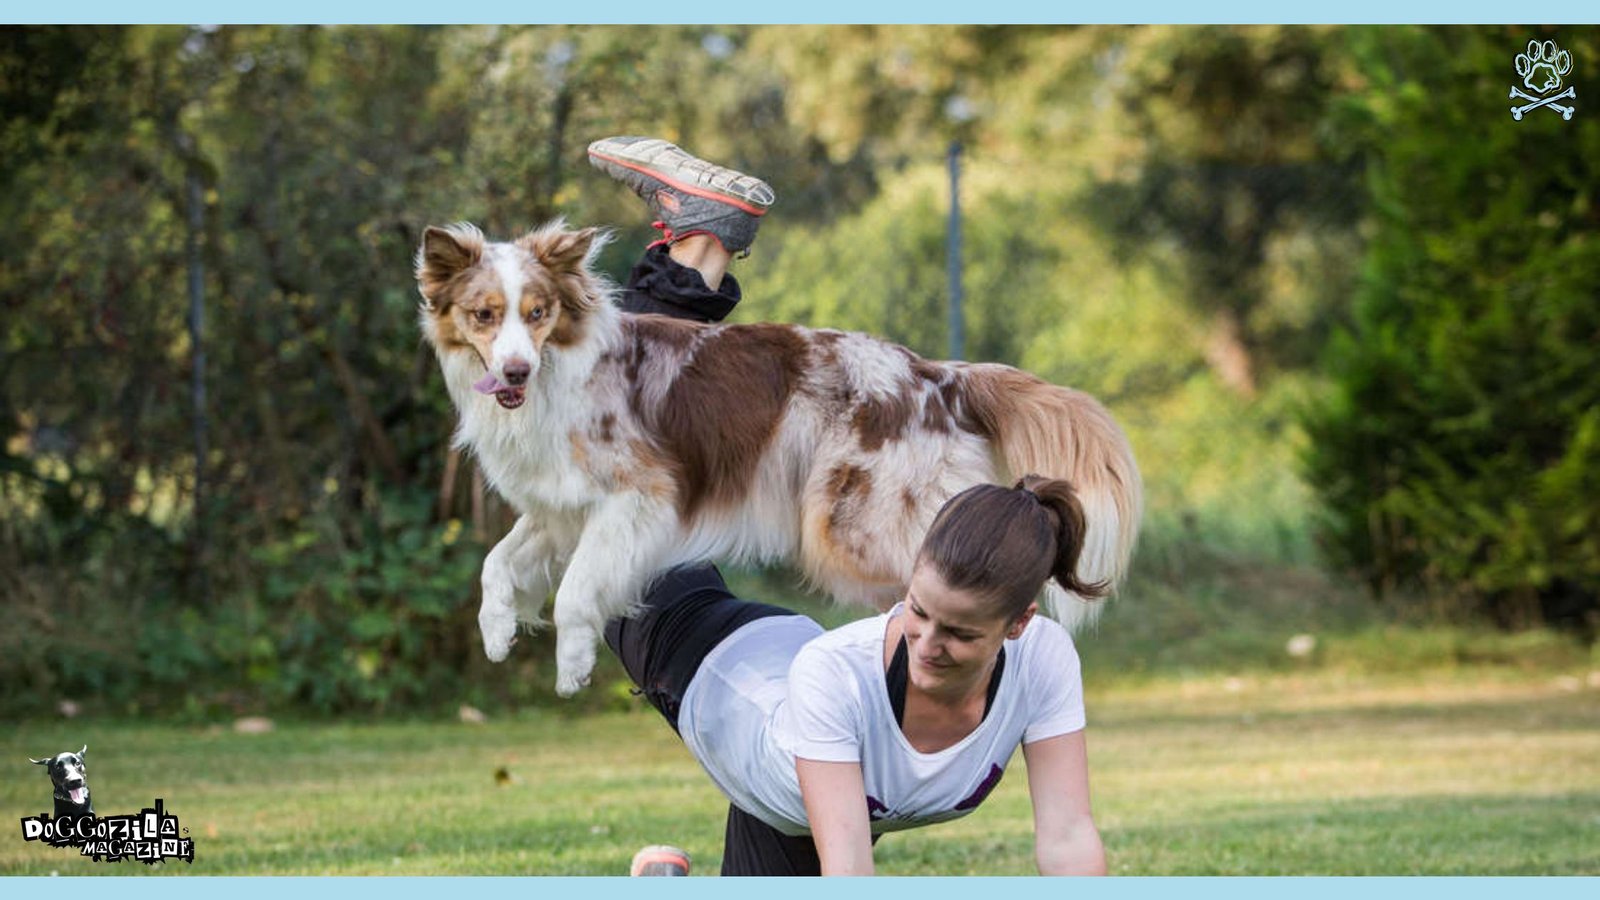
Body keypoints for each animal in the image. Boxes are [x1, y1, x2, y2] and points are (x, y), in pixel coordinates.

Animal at [412, 219, 1139, 695]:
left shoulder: (639, 496)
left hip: (856, 526)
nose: (514, 371)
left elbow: (573, 591)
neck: (559, 371)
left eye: (538, 312)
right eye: (483, 315)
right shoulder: (560, 508)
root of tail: (938, 374)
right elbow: (497, 563)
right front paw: (497, 632)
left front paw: (572, 667)